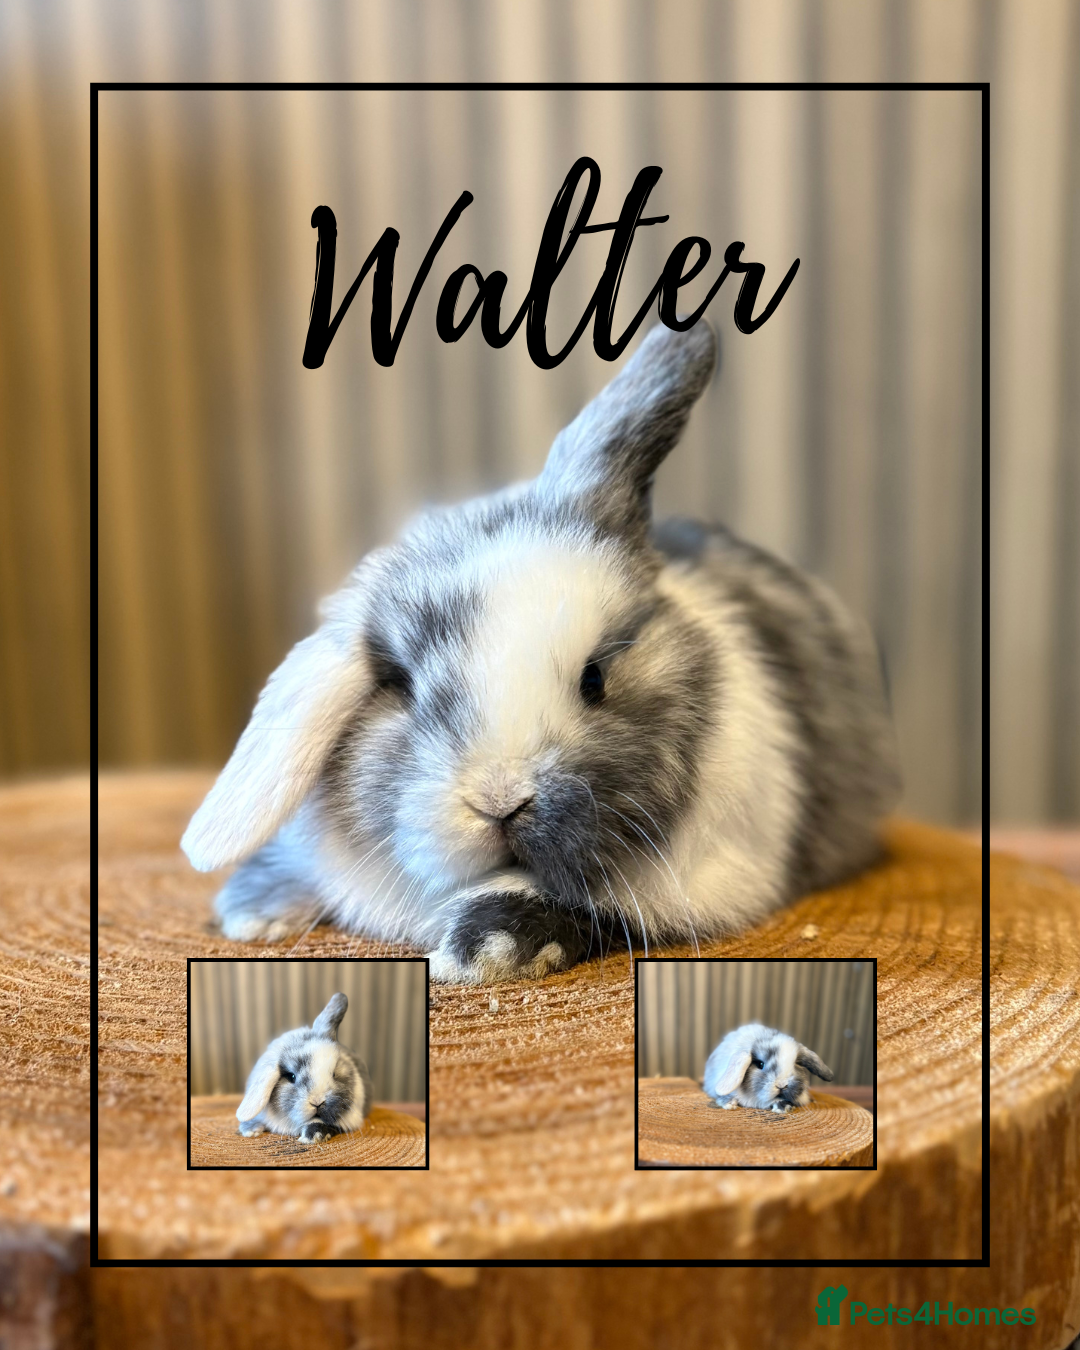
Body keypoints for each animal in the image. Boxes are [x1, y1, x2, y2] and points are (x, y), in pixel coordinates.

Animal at [182, 318, 901, 984]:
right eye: (404, 687)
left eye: (595, 679)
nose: (500, 800)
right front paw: (254, 914)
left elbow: (590, 910)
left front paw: (480, 954)